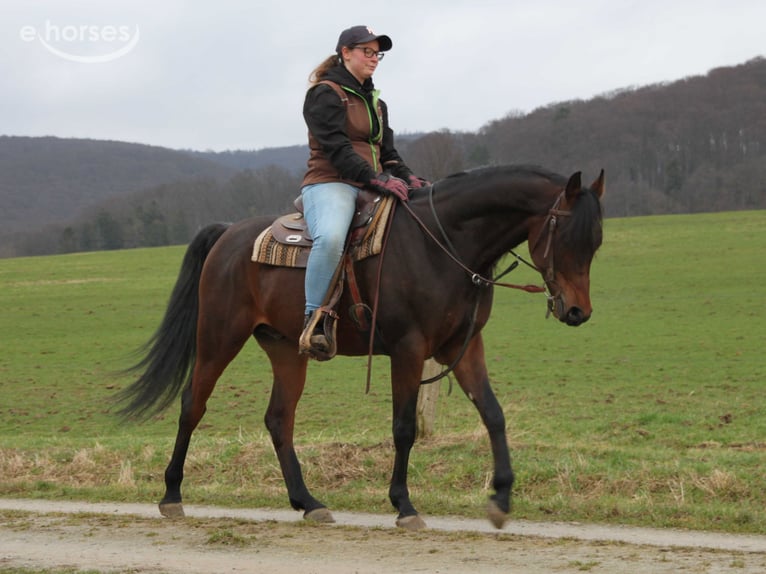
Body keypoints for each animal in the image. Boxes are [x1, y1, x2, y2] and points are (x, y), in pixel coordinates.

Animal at [116, 164, 605, 530]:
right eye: (567, 238)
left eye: (596, 241)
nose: (578, 311)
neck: (441, 244)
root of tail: (227, 234)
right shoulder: (409, 348)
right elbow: (404, 427)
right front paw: (404, 505)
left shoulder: (461, 348)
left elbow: (493, 414)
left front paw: (501, 499)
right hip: (218, 338)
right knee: (192, 405)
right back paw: (172, 494)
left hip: (285, 349)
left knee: (279, 419)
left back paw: (308, 502)